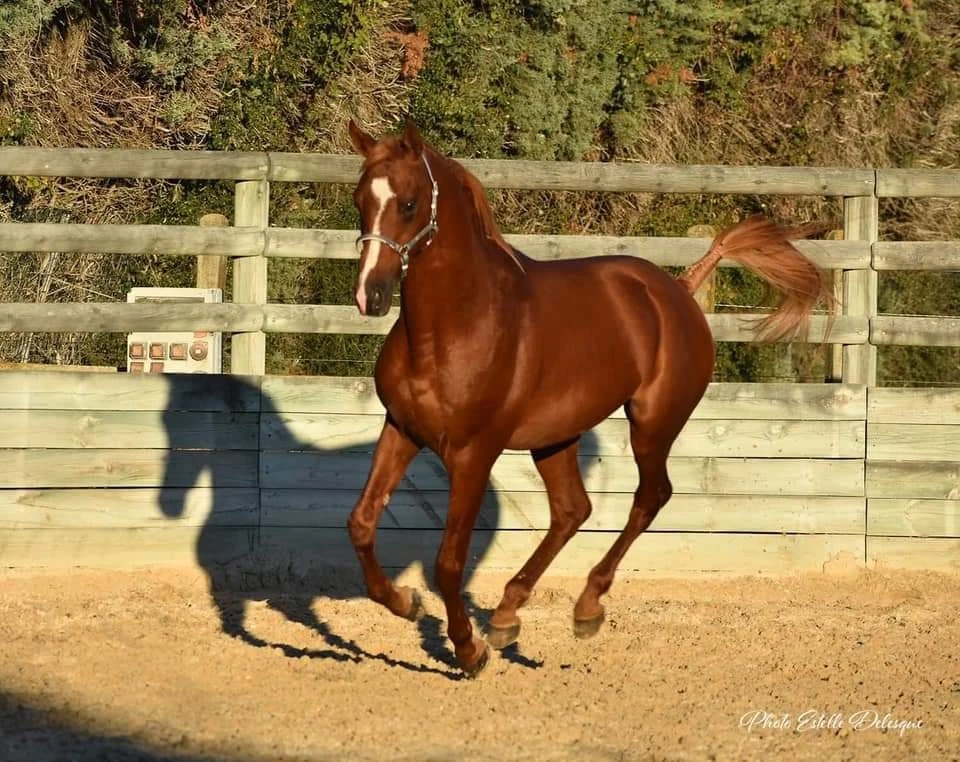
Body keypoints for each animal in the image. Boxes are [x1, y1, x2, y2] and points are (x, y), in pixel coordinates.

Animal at [346, 121, 832, 672]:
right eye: (360, 200)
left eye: (408, 204)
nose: (369, 295)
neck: (456, 325)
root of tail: (679, 290)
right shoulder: (402, 429)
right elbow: (361, 523)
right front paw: (404, 602)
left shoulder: (474, 453)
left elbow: (449, 561)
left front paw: (468, 651)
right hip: (556, 437)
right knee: (572, 510)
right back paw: (508, 615)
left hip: (653, 425)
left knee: (649, 498)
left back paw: (586, 607)